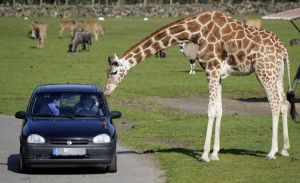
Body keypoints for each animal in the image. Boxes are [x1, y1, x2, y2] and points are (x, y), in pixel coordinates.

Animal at [104, 10, 296, 162]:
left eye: (113, 72)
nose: (106, 91)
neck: (195, 31)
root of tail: (283, 50)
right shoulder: (218, 74)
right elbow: (219, 110)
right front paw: (215, 154)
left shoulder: (211, 69)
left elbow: (210, 111)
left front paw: (204, 156)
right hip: (276, 74)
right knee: (284, 102)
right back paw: (284, 149)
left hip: (264, 72)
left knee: (274, 103)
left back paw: (271, 153)